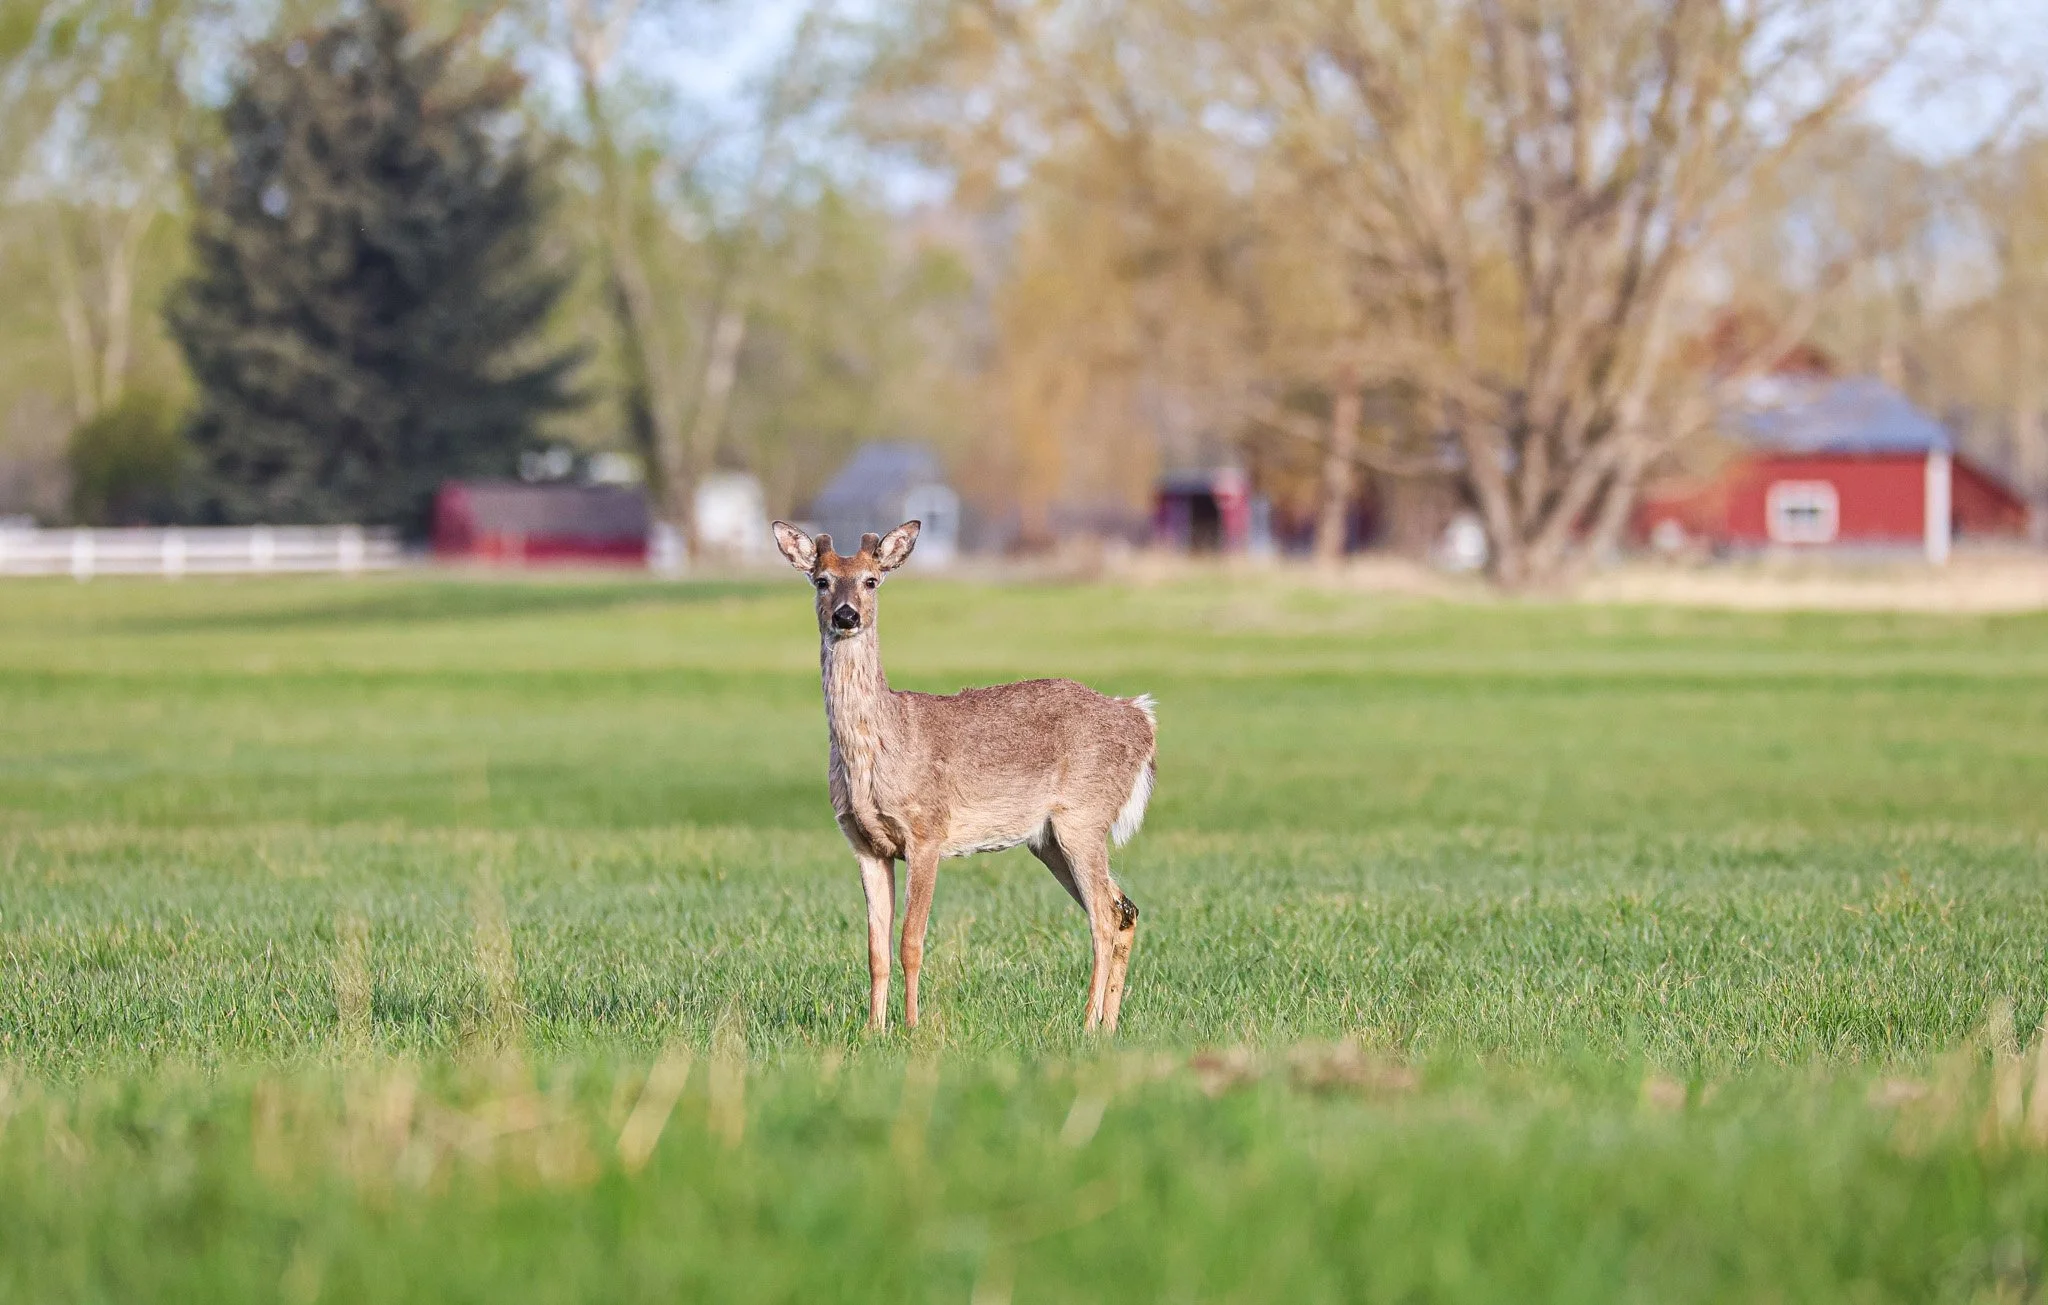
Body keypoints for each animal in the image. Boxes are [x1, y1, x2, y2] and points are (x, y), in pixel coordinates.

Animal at [771, 518, 1156, 1034]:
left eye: (872, 580)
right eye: (821, 581)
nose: (847, 616)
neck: (878, 749)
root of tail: (1141, 720)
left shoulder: (927, 831)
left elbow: (911, 941)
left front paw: (912, 1026)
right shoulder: (864, 843)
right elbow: (875, 949)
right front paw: (874, 1029)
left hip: (1083, 816)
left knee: (1103, 916)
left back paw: (1086, 1023)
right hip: (1049, 840)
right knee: (1124, 907)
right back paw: (1109, 1025)